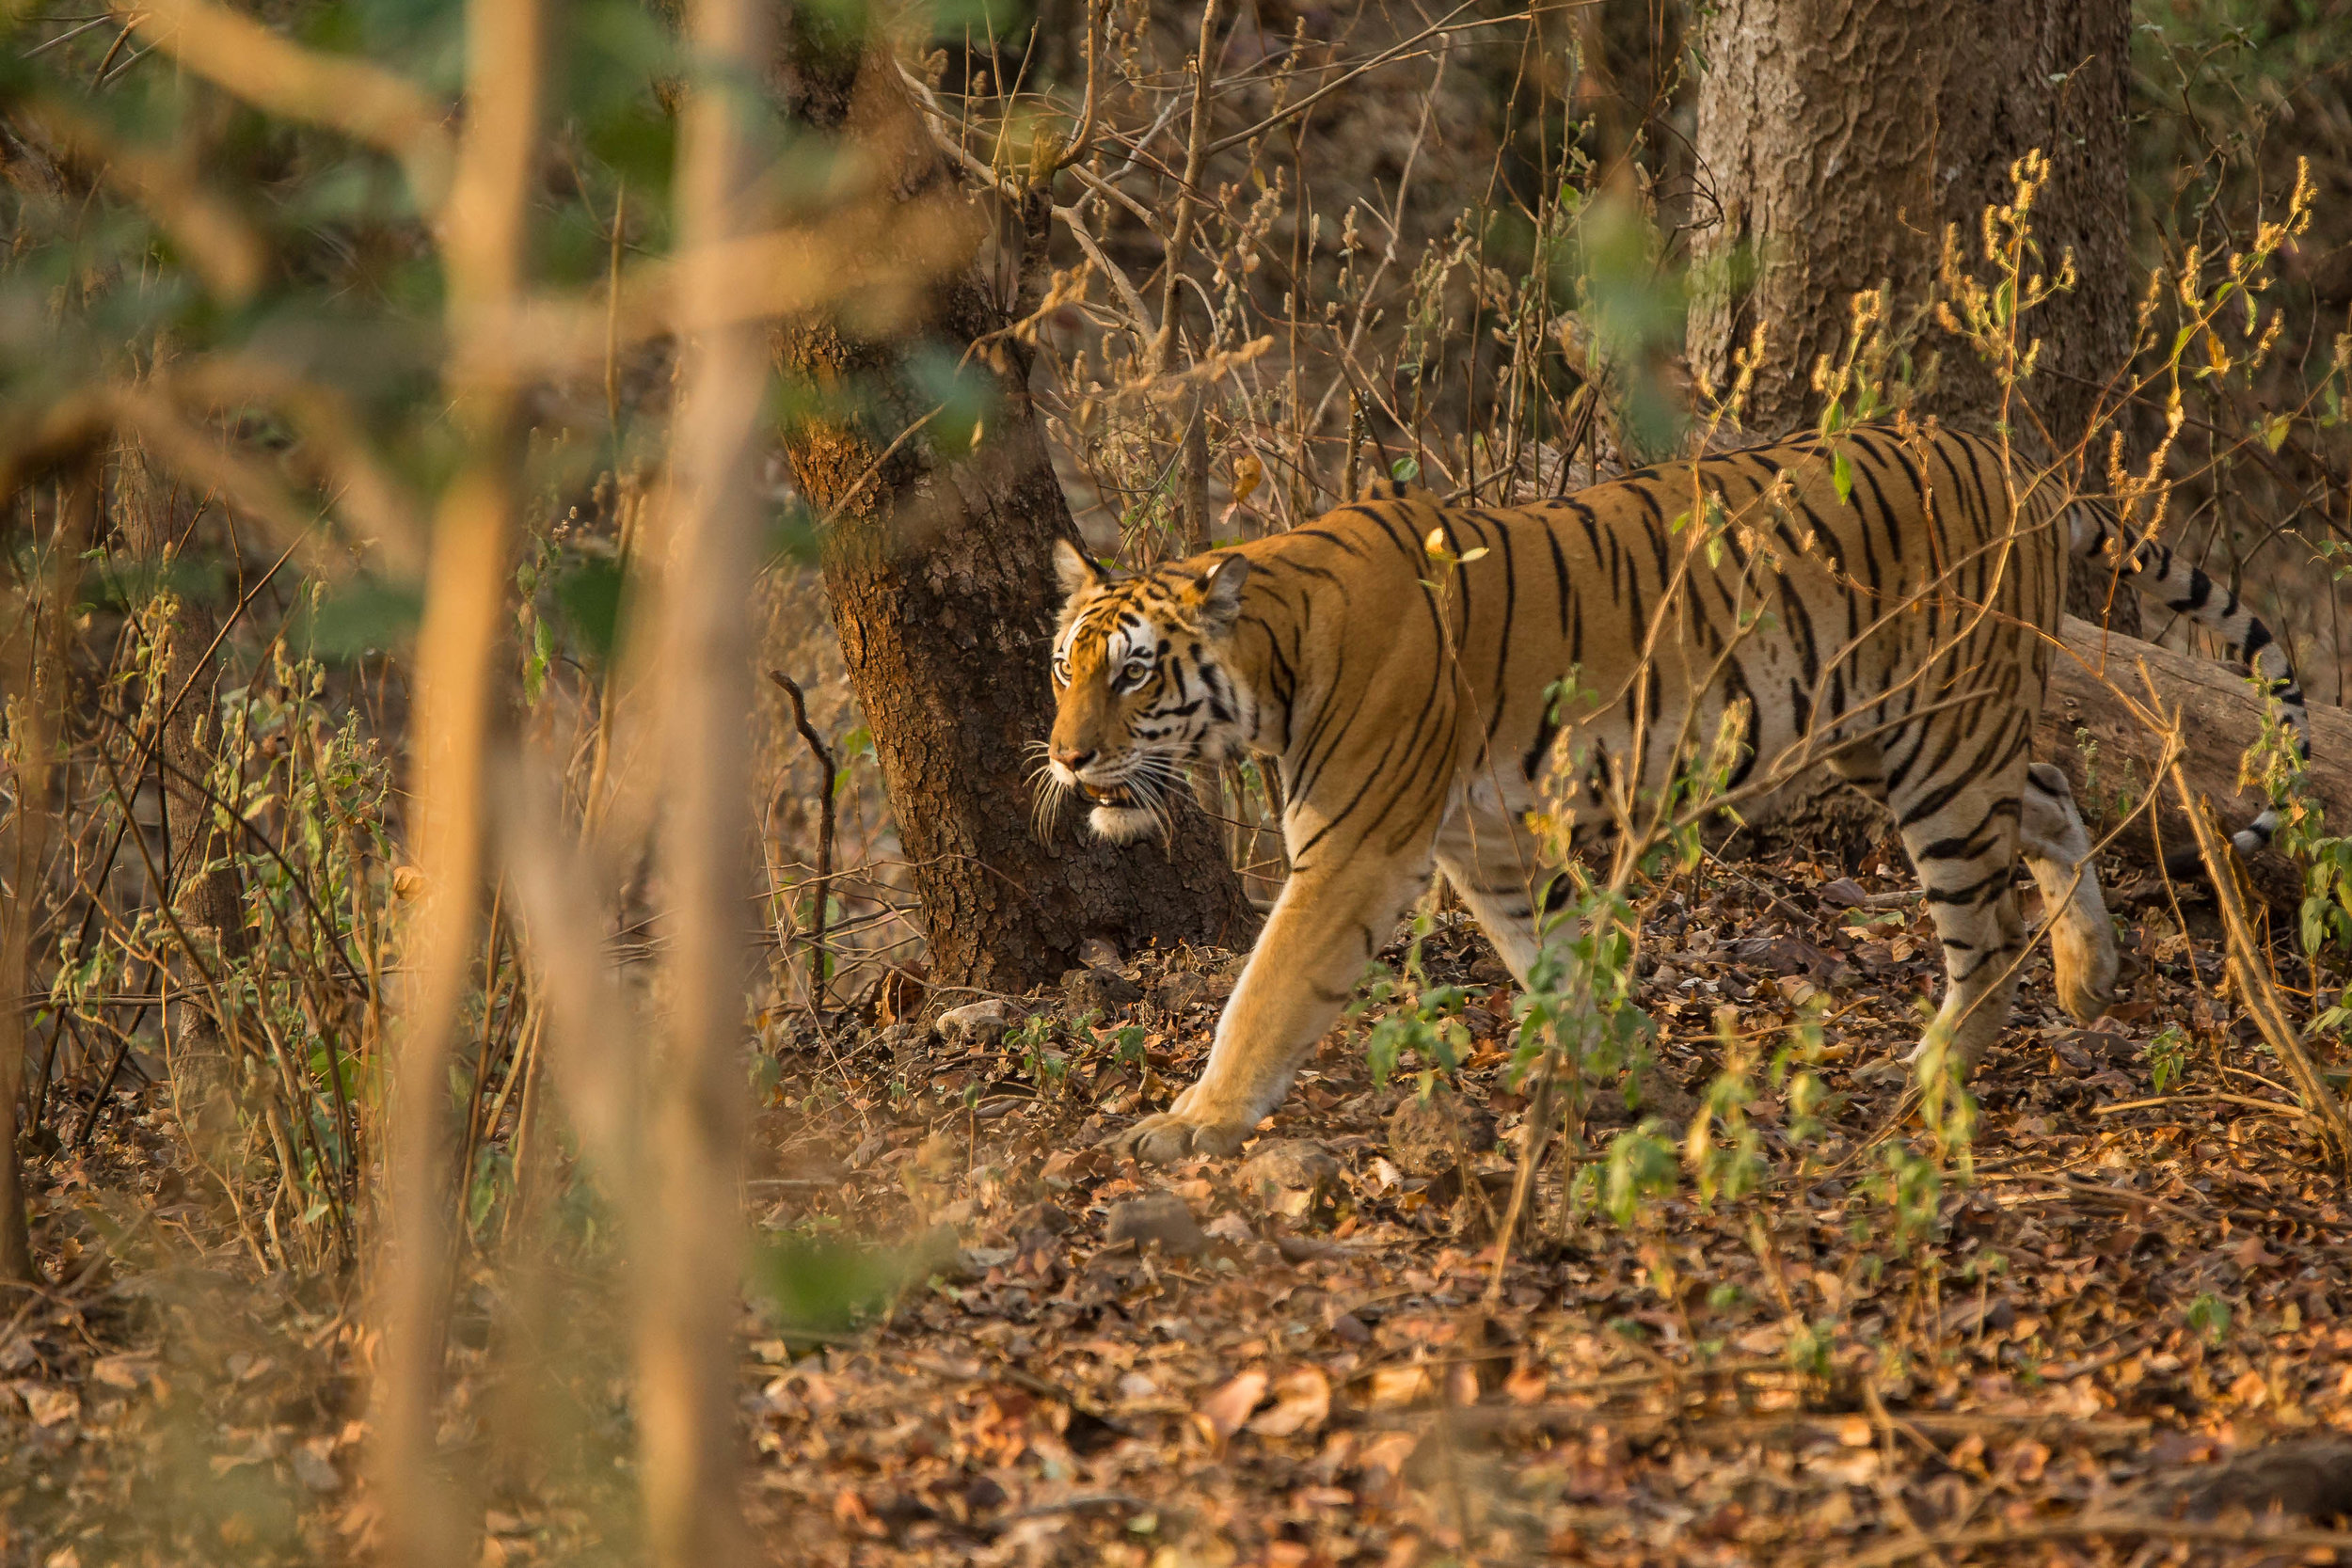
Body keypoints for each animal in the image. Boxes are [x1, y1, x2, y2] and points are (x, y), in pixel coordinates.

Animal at [1044, 420, 2296, 1165]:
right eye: (1065, 665)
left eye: (1134, 673)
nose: (1064, 758)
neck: (1272, 658)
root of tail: (2020, 467)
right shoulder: (1486, 841)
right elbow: (1553, 960)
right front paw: (1633, 1076)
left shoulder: (1352, 851)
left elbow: (1263, 994)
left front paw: (1192, 1121)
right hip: (1889, 733)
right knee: (2045, 790)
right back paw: (2090, 975)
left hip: (1936, 747)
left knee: (1983, 932)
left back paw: (1928, 1077)